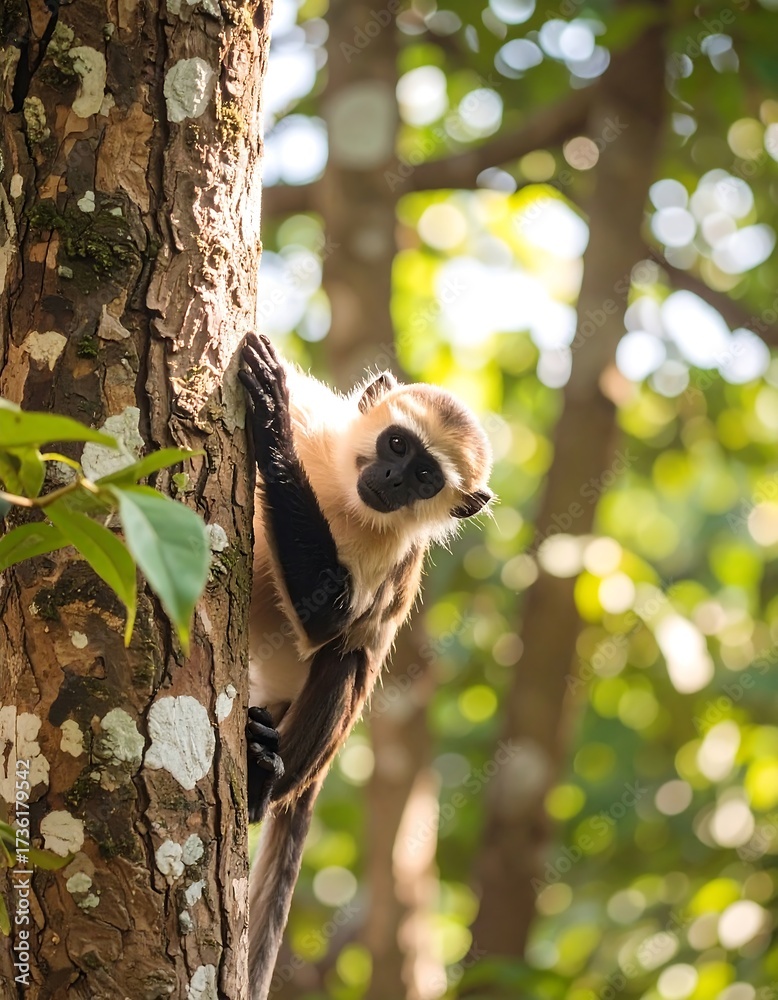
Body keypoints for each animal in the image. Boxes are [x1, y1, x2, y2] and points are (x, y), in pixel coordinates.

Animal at [238, 333, 493, 1000]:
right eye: (397, 445)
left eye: (425, 478)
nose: (391, 479)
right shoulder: (322, 418)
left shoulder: (390, 551)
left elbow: (329, 618)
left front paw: (271, 425)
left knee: (346, 659)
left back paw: (260, 782)